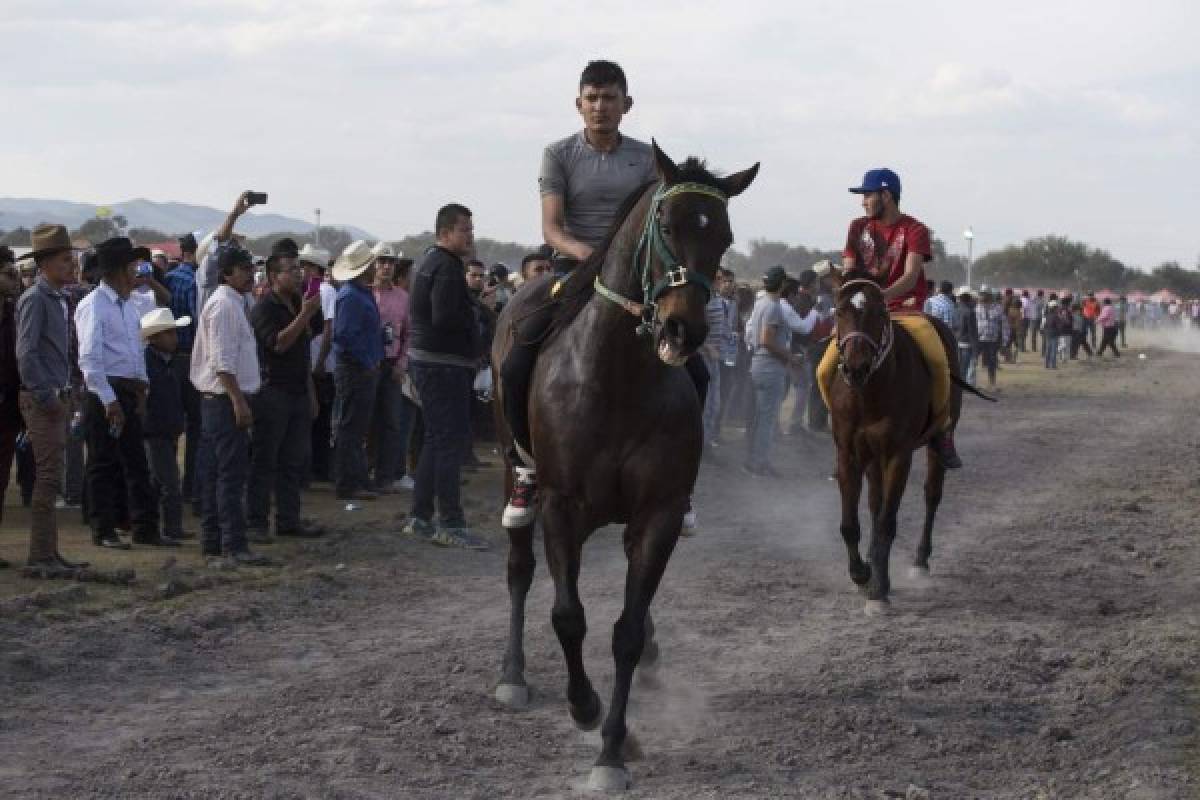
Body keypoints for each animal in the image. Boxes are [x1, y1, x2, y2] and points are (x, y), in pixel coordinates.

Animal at [489, 142, 753, 786]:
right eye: (668, 225)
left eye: (724, 235)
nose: (683, 328)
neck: (614, 379)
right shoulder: (562, 507)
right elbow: (568, 616)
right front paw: (584, 707)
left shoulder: (658, 513)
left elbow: (627, 631)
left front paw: (614, 747)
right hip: (515, 469)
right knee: (519, 568)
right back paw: (513, 676)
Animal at [830, 272, 969, 618]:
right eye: (839, 311)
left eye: (880, 313)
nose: (855, 367)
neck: (869, 393)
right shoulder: (849, 455)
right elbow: (851, 524)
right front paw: (862, 574)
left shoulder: (897, 456)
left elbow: (886, 524)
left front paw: (878, 592)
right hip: (871, 457)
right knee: (875, 503)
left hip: (934, 442)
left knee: (931, 495)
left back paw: (919, 561)